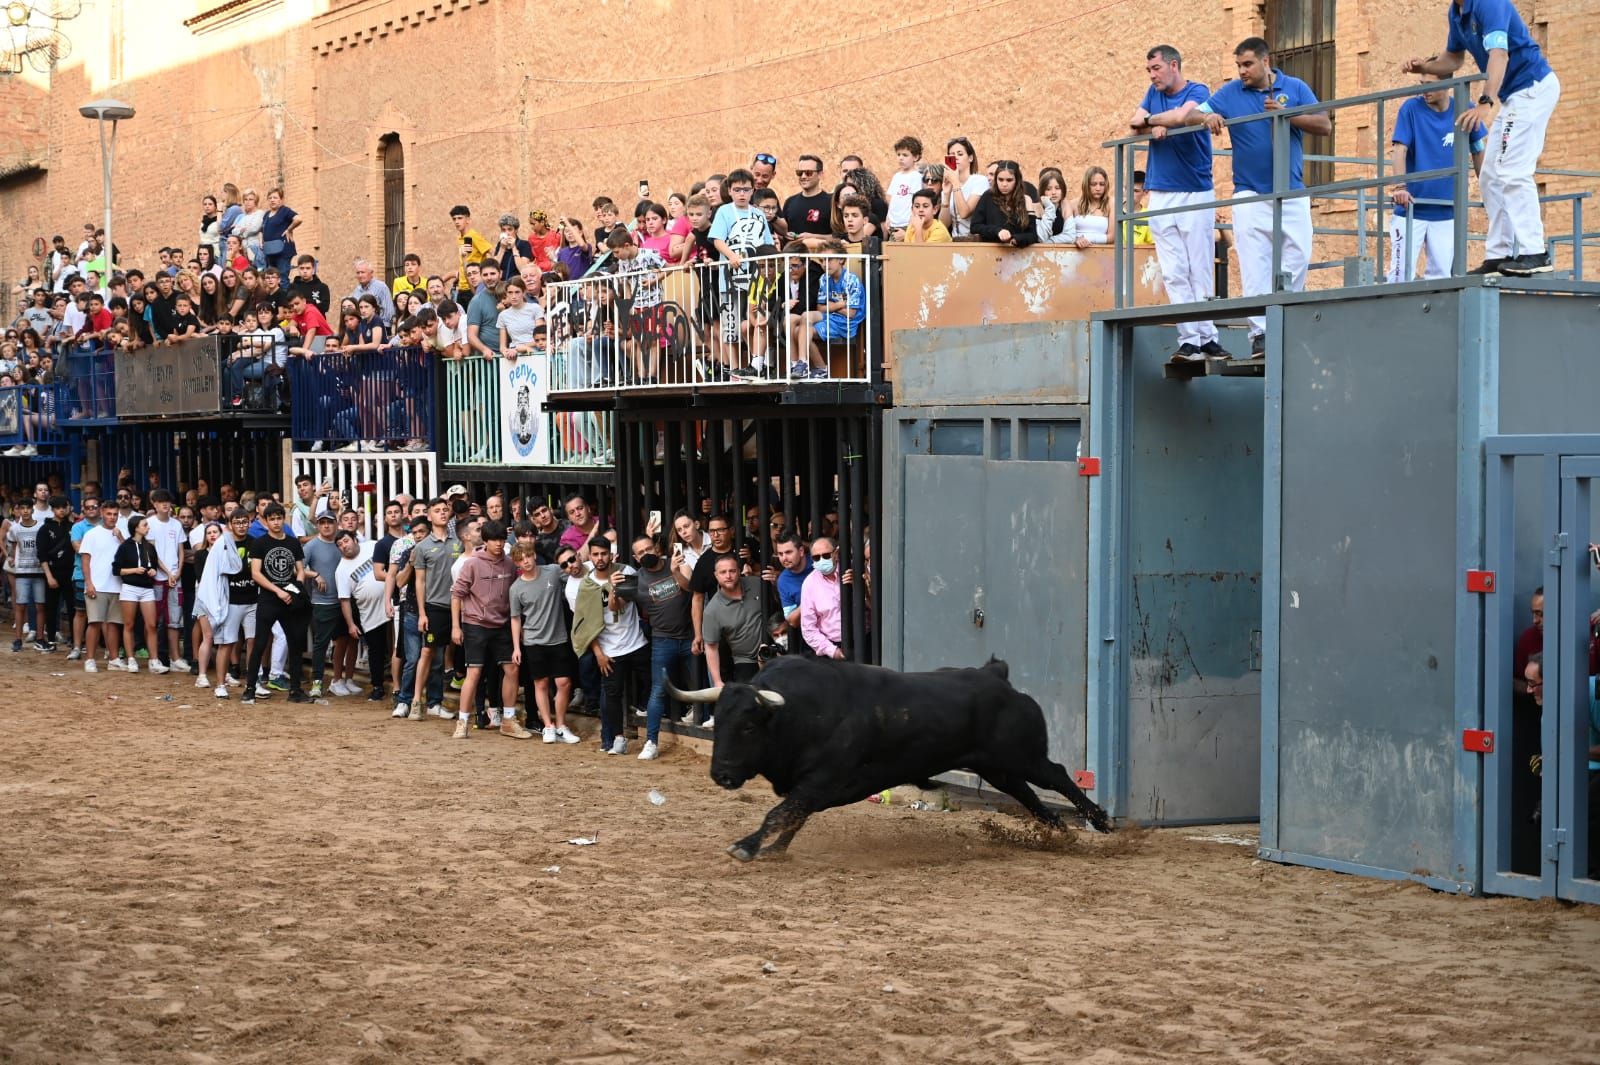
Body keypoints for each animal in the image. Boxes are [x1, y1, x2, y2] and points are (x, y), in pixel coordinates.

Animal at [665, 652, 1113, 857]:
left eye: (747, 727)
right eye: (719, 723)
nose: (721, 775)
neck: (801, 712)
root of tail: (997, 677)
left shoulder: (820, 780)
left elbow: (781, 813)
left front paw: (748, 846)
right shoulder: (811, 787)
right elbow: (793, 815)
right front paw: (774, 849)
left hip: (1023, 757)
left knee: (1058, 776)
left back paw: (1103, 823)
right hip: (999, 768)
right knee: (1031, 796)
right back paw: (1058, 832)